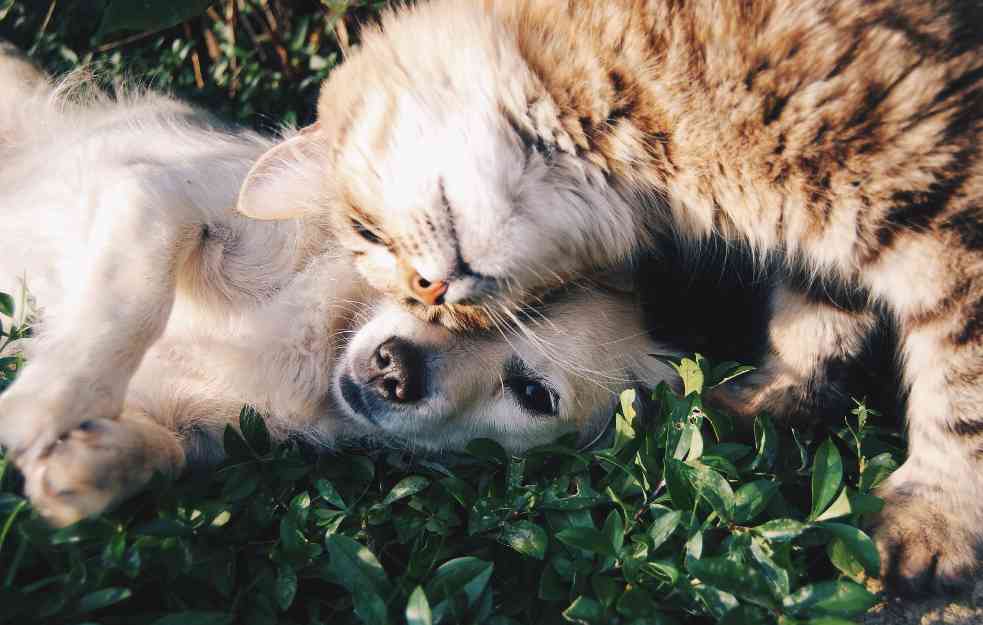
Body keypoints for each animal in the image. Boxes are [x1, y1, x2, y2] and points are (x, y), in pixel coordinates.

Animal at [0, 51, 676, 524]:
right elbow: (130, 305)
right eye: (429, 285)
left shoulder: (200, 426)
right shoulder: (155, 198)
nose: (394, 370)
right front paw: (47, 403)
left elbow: (166, 452)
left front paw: (89, 464)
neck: (321, 342)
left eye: (534, 395)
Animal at [238, 0, 983, 596]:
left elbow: (960, 393)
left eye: (367, 234)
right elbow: (815, 322)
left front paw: (934, 519)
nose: (432, 293)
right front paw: (770, 399)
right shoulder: (826, 238)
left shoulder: (944, 202)